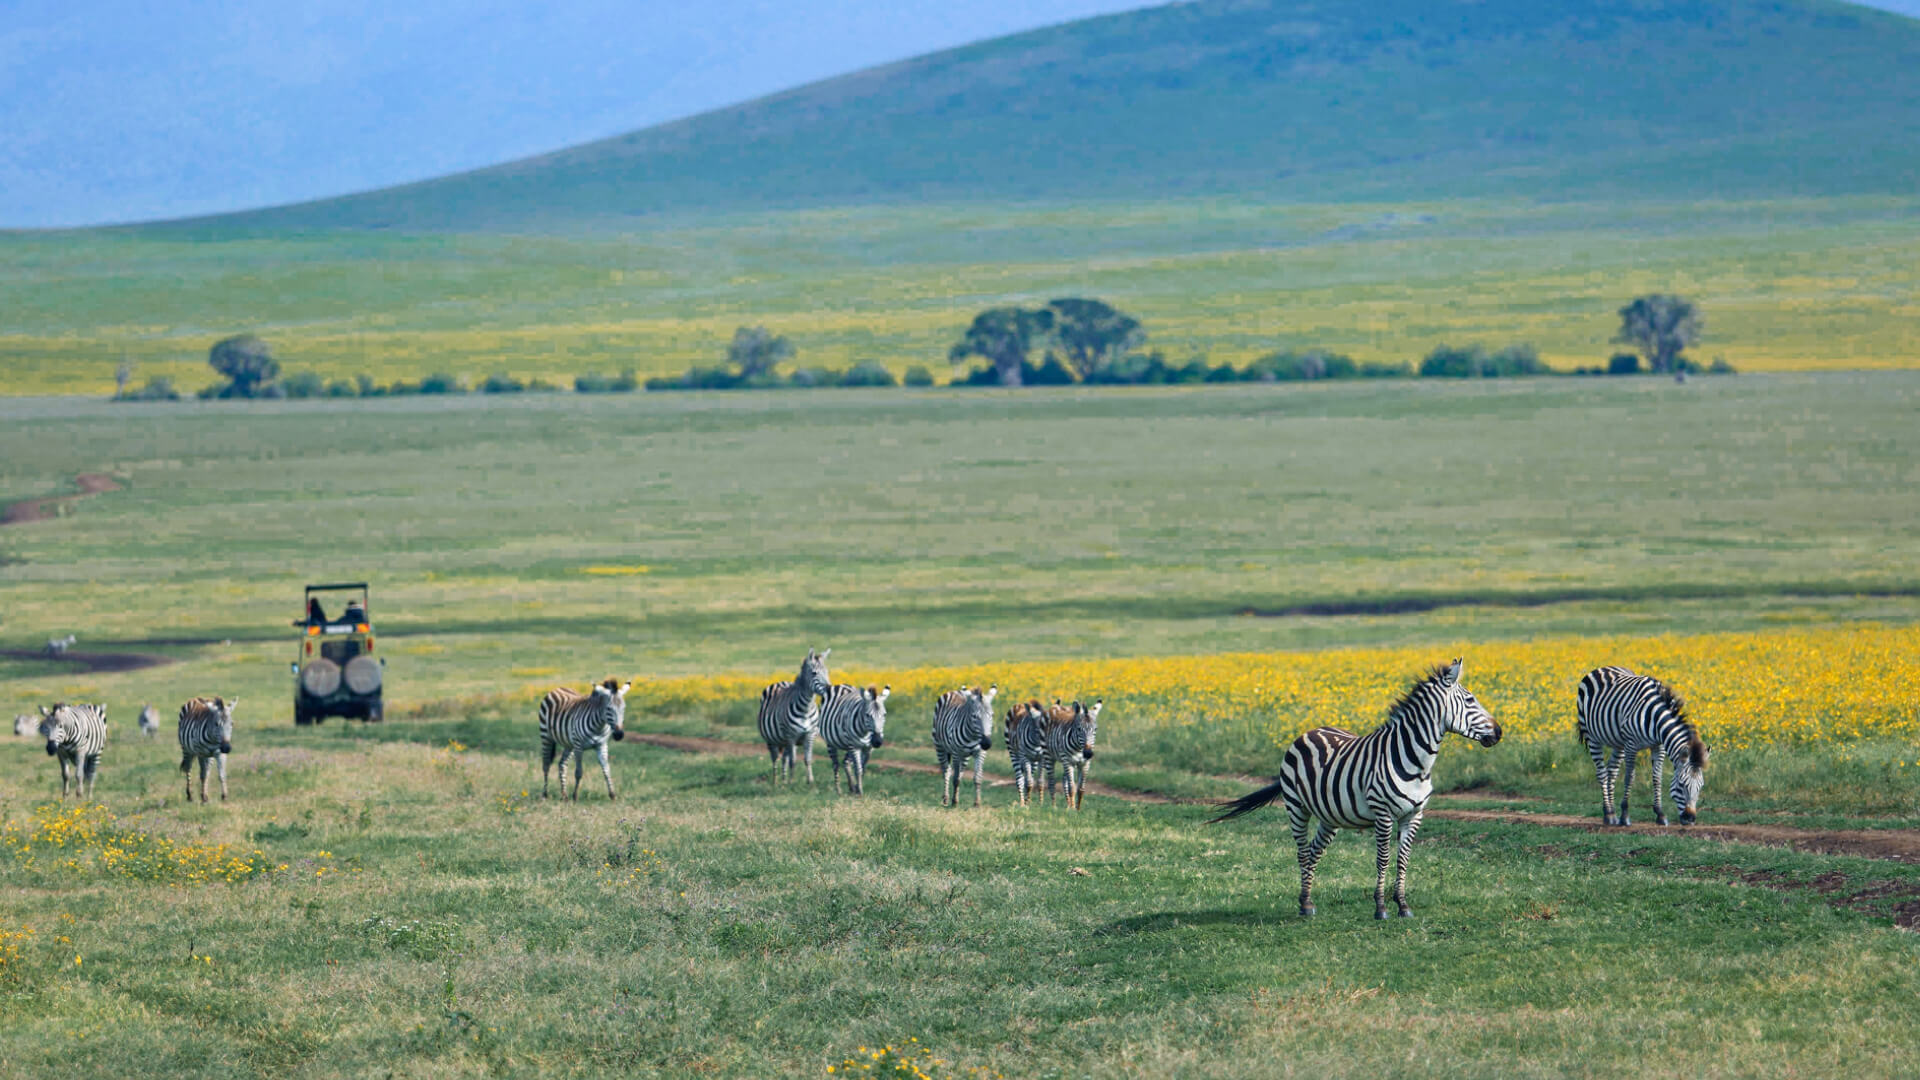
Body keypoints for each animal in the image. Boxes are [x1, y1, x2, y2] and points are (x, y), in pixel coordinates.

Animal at [757, 648, 831, 785]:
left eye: (827, 672)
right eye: (814, 673)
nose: (829, 689)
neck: (806, 708)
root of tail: (780, 682)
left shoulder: (809, 735)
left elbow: (807, 759)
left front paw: (810, 781)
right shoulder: (792, 737)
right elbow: (793, 761)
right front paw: (792, 781)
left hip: (784, 741)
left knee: (784, 759)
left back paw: (784, 781)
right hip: (771, 740)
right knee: (775, 758)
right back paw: (776, 782)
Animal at [1209, 659, 1501, 919]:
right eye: (1470, 700)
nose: (1499, 732)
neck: (1415, 761)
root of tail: (1311, 731)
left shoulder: (1413, 815)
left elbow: (1403, 859)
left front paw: (1403, 906)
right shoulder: (1383, 814)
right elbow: (1383, 859)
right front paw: (1381, 908)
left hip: (1329, 816)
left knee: (1314, 852)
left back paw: (1308, 901)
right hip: (1296, 807)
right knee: (1302, 852)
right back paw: (1304, 904)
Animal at [1576, 666, 1709, 826]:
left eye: (1701, 786)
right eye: (1681, 784)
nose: (1690, 819)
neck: (1655, 716)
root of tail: (1602, 668)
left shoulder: (1659, 746)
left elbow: (1657, 778)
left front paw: (1660, 814)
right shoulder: (1631, 744)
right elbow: (1630, 777)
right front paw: (1625, 815)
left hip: (1618, 743)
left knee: (1612, 771)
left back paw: (1612, 812)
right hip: (1592, 737)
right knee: (1601, 773)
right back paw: (1608, 814)